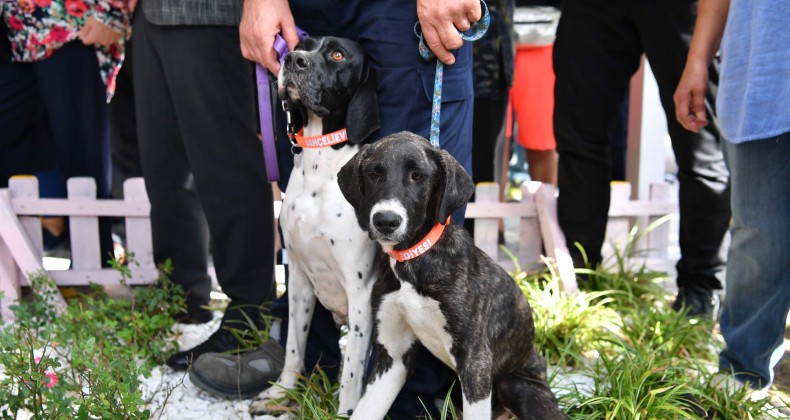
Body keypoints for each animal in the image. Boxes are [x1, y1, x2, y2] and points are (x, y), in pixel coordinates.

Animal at [251, 37, 380, 416]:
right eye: (300, 44)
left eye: (337, 54)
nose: (292, 59)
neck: (320, 168)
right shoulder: (298, 279)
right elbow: (295, 347)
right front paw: (281, 393)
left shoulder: (361, 296)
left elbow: (351, 378)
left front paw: (345, 414)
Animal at [338, 133, 568, 420]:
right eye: (374, 174)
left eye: (417, 176)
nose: (385, 221)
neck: (412, 261)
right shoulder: (393, 357)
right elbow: (365, 410)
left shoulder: (475, 361)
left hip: (516, 386)